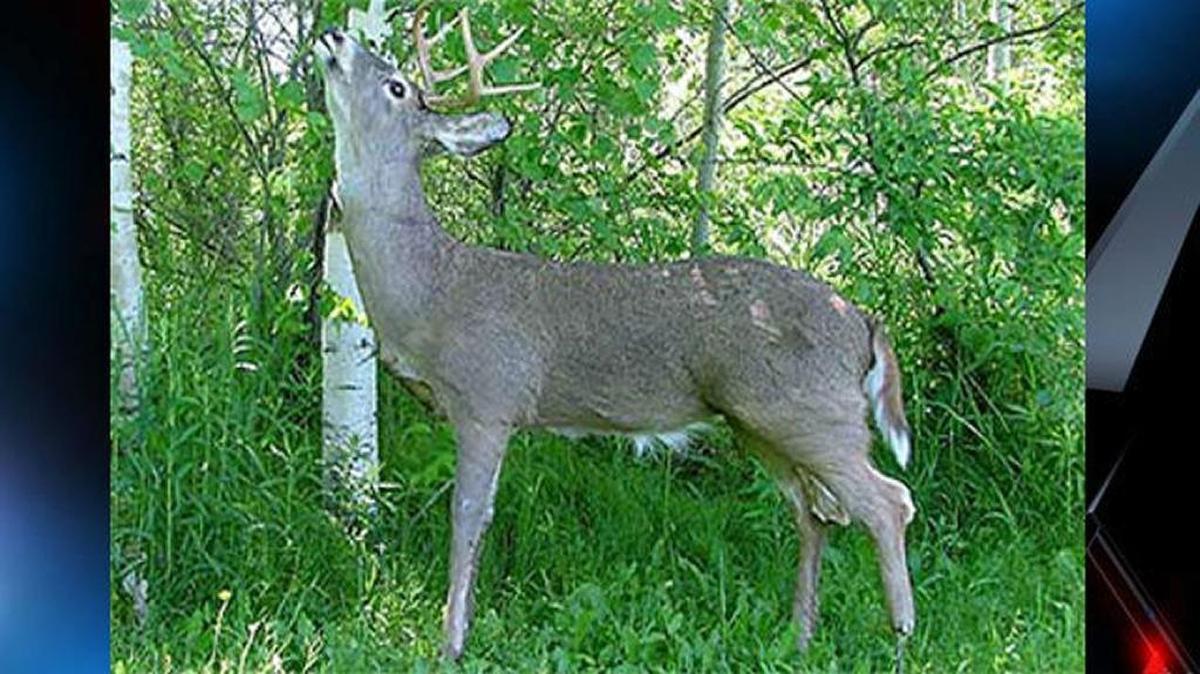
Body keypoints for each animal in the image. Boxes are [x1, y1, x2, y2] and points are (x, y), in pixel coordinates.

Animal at [314, 8, 916, 662]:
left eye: (397, 86)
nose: (334, 34)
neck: (433, 289)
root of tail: (863, 321)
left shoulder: (488, 398)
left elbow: (468, 513)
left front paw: (450, 644)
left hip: (815, 413)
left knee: (888, 502)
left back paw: (901, 641)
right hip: (761, 421)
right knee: (817, 512)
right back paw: (799, 639)